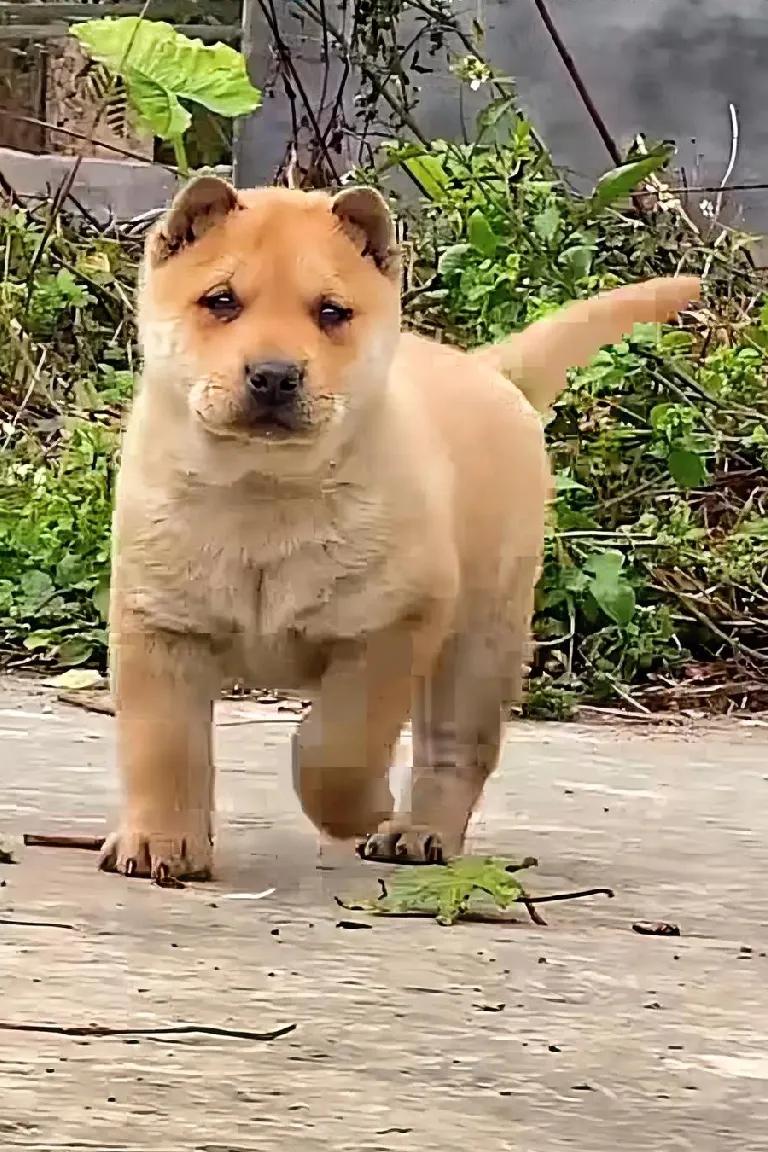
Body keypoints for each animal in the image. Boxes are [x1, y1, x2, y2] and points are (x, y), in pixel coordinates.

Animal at [99, 172, 700, 880]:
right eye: (220, 301)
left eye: (332, 312)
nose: (274, 375)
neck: (263, 493)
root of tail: (487, 370)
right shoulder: (162, 626)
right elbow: (163, 748)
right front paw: (160, 844)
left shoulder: (391, 626)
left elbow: (337, 746)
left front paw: (362, 810)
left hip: (480, 642)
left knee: (455, 749)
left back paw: (417, 832)